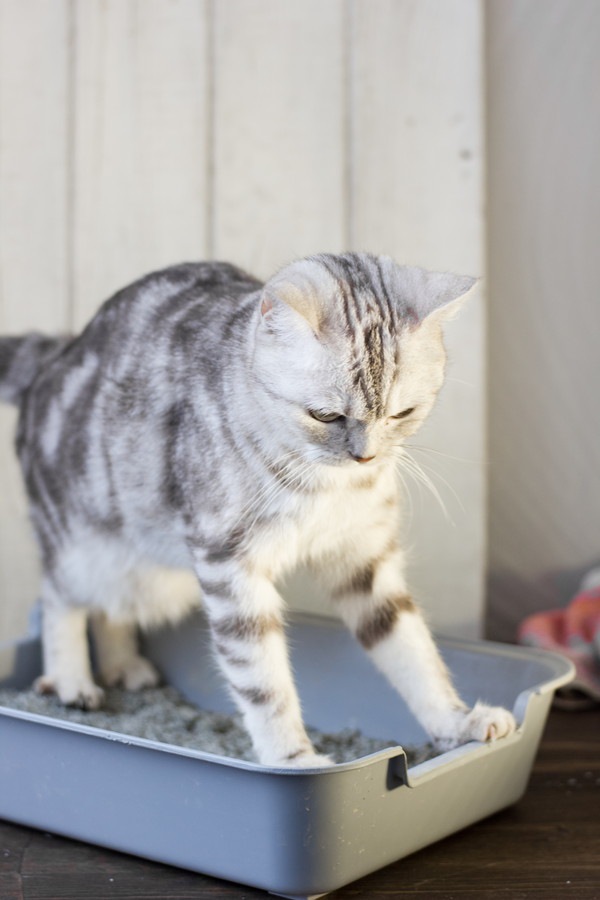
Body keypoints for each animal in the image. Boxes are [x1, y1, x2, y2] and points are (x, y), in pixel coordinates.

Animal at [0, 253, 516, 768]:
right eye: (325, 415)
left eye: (401, 413)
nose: (366, 456)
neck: (324, 484)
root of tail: (58, 352)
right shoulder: (231, 567)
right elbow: (263, 682)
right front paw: (294, 761)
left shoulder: (365, 558)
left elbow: (412, 649)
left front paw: (456, 723)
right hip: (81, 548)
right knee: (59, 598)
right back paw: (72, 681)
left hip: (143, 571)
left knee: (112, 609)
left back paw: (124, 665)